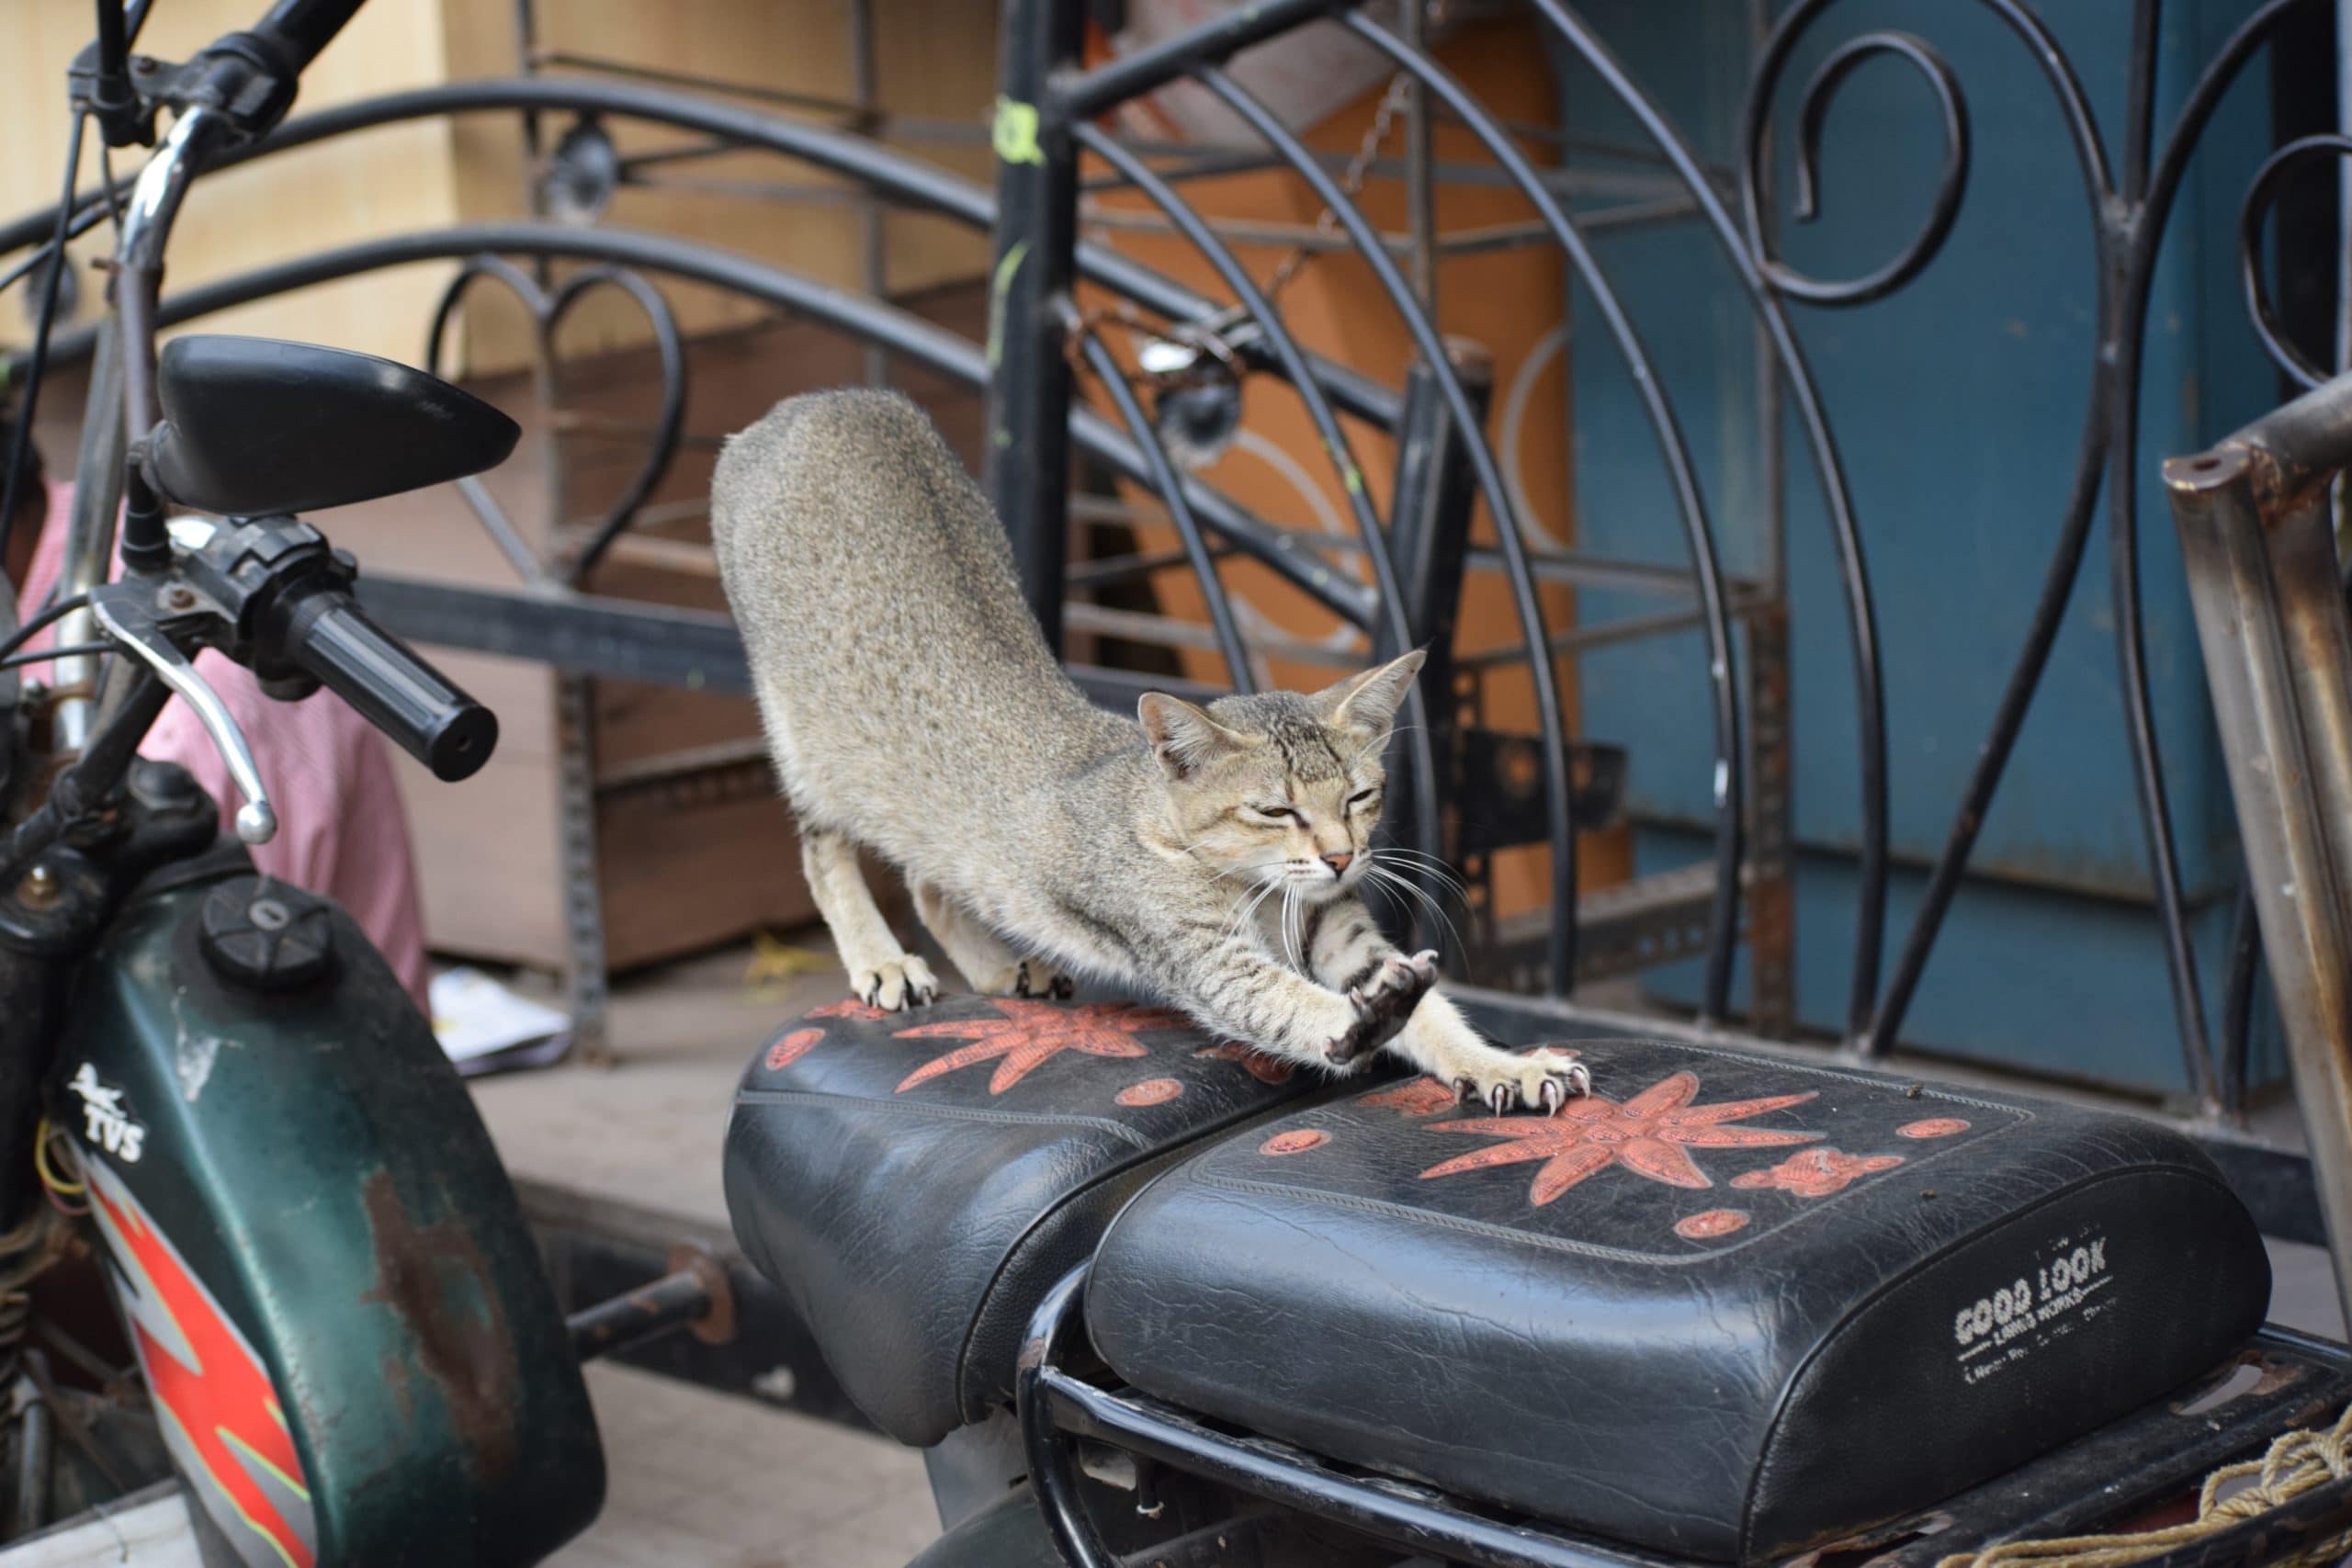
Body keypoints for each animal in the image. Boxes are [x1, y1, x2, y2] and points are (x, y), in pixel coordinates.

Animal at [706, 389, 1589, 1114]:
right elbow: (1299, 1006)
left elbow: (1434, 1011)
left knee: (932, 873)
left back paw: (997, 967)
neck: (1255, 887)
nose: (1343, 857)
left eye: (1359, 797)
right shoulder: (1208, 956)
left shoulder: (1341, 932)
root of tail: (823, 399)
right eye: (1276, 810)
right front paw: (1356, 1026)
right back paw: (881, 960)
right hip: (809, 743)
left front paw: (1502, 1063)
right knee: (824, 849)